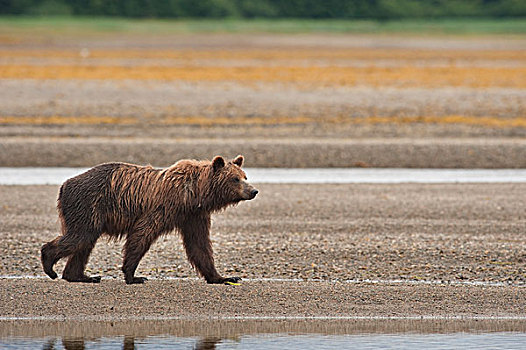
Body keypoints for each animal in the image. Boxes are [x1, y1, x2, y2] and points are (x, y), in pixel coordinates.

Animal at [40, 155, 258, 284]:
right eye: (235, 179)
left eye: (245, 176)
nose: (253, 191)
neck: (193, 194)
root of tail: (64, 185)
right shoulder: (164, 206)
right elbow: (142, 234)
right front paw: (133, 275)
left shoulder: (193, 216)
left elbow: (200, 245)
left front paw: (223, 276)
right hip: (88, 204)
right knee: (80, 237)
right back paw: (49, 264)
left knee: (84, 243)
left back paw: (82, 276)